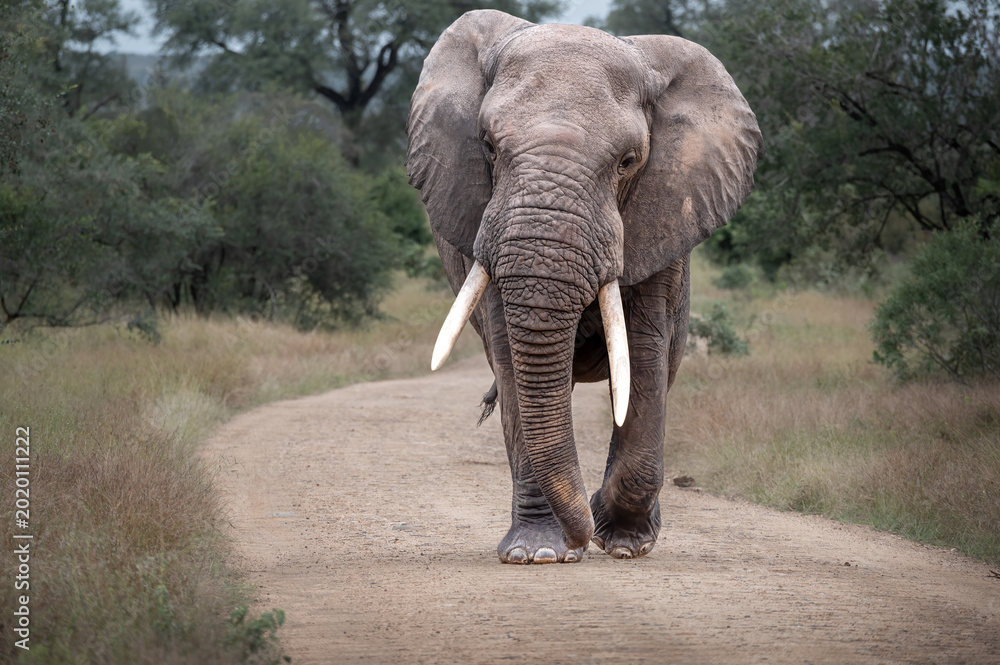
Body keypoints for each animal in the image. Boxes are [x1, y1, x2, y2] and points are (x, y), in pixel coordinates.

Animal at [405, 10, 762, 564]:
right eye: (488, 145)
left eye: (628, 161)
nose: (581, 537)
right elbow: (512, 357)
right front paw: (537, 553)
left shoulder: (659, 219)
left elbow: (643, 356)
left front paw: (624, 544)